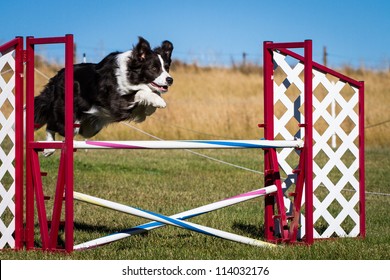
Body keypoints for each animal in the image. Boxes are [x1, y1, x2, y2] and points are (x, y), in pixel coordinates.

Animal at [32, 36, 173, 155]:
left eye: (166, 68)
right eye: (154, 68)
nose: (170, 80)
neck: (131, 73)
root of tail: (56, 77)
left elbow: (147, 100)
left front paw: (152, 105)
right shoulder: (115, 101)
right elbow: (140, 93)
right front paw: (158, 101)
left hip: (89, 127)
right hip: (68, 114)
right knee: (52, 124)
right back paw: (49, 149)